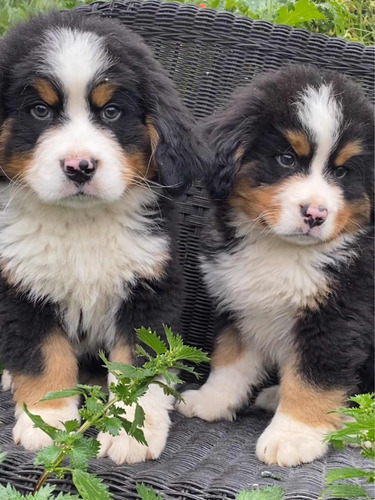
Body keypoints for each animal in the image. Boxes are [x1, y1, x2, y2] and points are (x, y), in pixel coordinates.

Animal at [0, 11, 209, 464]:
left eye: (112, 112)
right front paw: (48, 423)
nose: (80, 166)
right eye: (39, 110)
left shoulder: (150, 286)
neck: (82, 224)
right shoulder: (21, 286)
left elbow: (138, 368)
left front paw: (133, 431)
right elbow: (43, 357)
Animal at [177, 65, 375, 464]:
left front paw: (294, 436)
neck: (282, 250)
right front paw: (212, 401)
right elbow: (229, 360)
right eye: (286, 159)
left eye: (342, 172)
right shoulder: (240, 304)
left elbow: (314, 380)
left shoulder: (336, 319)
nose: (315, 214)